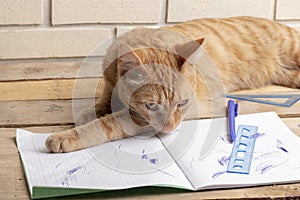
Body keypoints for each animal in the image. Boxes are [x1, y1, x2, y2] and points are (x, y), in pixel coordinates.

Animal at [45, 16, 298, 152]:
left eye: (182, 103)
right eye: (151, 105)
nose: (170, 128)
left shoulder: (140, 120)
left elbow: (107, 124)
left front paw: (66, 137)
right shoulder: (110, 86)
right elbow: (103, 101)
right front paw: (90, 112)